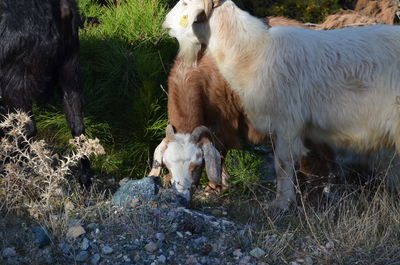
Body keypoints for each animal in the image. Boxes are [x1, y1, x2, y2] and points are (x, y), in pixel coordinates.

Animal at [0, 0, 91, 186]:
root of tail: (61, 9)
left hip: (14, 77)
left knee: (27, 127)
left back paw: (8, 163)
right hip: (70, 65)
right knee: (77, 123)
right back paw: (85, 176)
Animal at [162, 0, 400, 210]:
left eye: (196, 165)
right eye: (167, 165)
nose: (164, 22)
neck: (254, 51)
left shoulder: (286, 123)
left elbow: (282, 165)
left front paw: (282, 203)